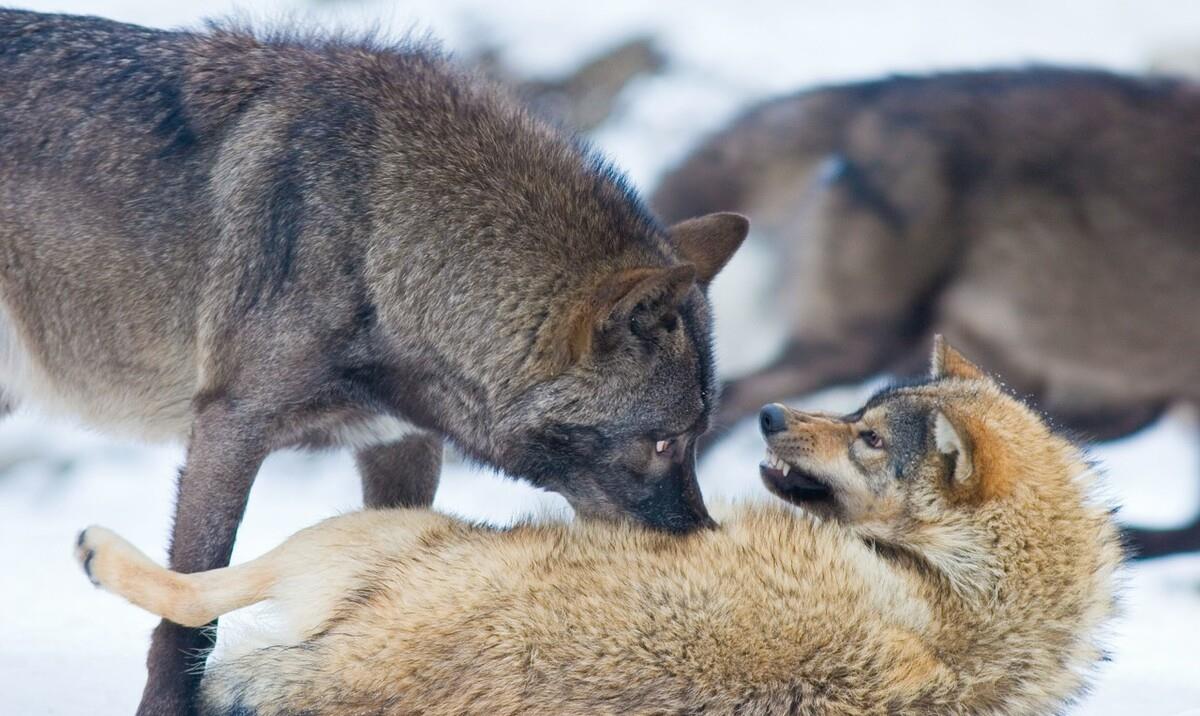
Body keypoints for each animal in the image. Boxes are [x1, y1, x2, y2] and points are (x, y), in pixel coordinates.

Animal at [2, 8, 748, 710]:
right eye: (661, 442)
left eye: (695, 438)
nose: (707, 541)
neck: (379, 242)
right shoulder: (229, 429)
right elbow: (189, 626)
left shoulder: (402, 446)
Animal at [77, 338, 1123, 714]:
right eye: (860, 410)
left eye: (868, 437)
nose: (770, 416)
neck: (970, 601)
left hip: (378, 536)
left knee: (196, 599)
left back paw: (99, 553)